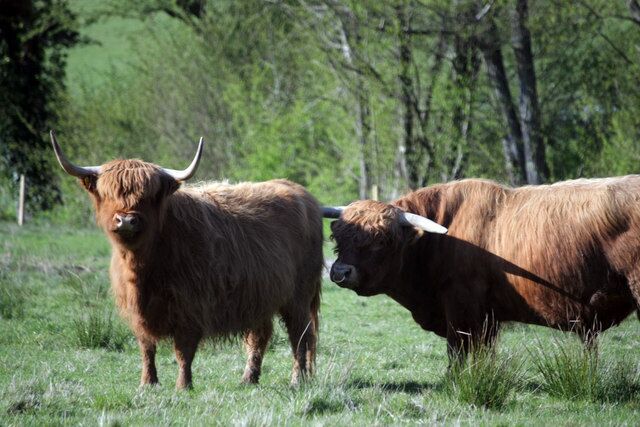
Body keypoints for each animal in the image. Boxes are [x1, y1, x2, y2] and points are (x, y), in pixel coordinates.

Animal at [51, 131, 323, 389]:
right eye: (108, 193)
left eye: (149, 196)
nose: (126, 220)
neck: (145, 265)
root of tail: (301, 193)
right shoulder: (138, 314)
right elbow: (146, 348)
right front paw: (147, 383)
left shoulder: (190, 308)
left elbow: (183, 351)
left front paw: (183, 386)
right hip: (260, 297)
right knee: (260, 335)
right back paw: (248, 379)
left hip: (298, 298)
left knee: (300, 336)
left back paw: (297, 380)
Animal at [323, 178, 640, 363]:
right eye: (338, 236)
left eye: (381, 240)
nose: (339, 272)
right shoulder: (487, 318)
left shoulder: (463, 311)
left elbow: (459, 355)